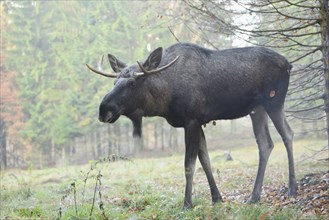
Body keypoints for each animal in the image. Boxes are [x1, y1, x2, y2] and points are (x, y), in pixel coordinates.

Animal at [86, 42, 296, 208]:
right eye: (115, 81)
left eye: (133, 83)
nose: (103, 110)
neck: (164, 100)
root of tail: (289, 63)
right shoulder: (198, 122)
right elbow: (205, 160)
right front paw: (217, 198)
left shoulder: (191, 120)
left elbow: (189, 164)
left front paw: (187, 203)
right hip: (257, 109)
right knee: (265, 144)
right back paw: (254, 196)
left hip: (274, 101)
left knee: (287, 134)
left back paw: (292, 189)